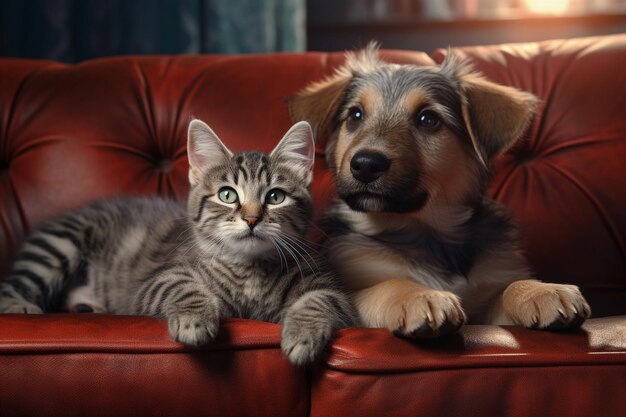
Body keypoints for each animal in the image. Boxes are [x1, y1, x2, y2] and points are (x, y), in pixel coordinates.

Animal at [0, 118, 354, 364]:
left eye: (275, 197)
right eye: (228, 195)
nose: (252, 219)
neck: (249, 273)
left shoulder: (332, 290)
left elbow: (320, 301)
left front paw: (301, 335)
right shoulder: (156, 280)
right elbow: (183, 286)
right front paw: (195, 320)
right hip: (60, 245)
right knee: (13, 285)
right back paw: (21, 307)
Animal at [288, 44, 588, 338]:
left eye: (428, 119)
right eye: (355, 115)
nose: (366, 165)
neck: (428, 233)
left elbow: (506, 289)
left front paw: (542, 290)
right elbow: (390, 283)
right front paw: (420, 297)